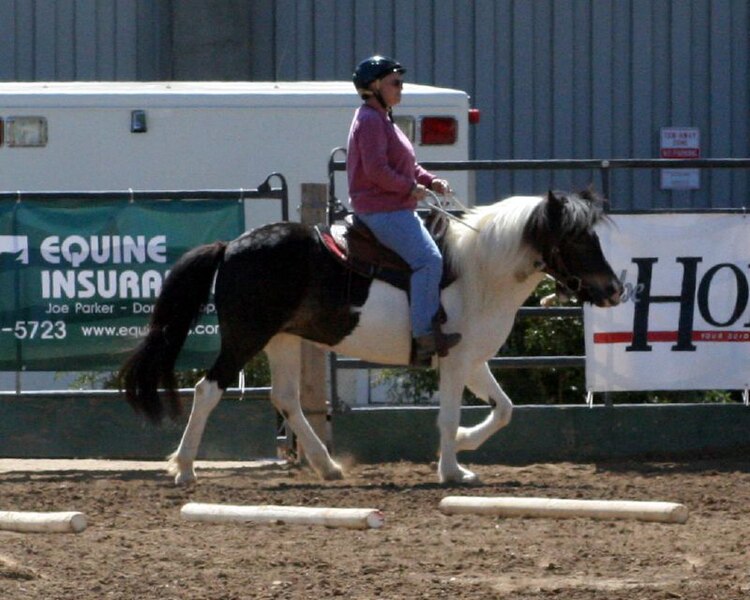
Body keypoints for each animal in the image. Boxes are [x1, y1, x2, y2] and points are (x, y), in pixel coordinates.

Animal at [119, 190, 624, 486]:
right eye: (578, 240)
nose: (615, 289)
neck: (481, 270)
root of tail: (231, 247)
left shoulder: (472, 360)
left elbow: (504, 409)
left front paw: (463, 444)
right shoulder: (455, 361)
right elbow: (449, 418)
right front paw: (453, 471)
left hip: (282, 340)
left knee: (286, 398)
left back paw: (327, 465)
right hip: (246, 338)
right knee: (208, 390)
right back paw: (184, 468)